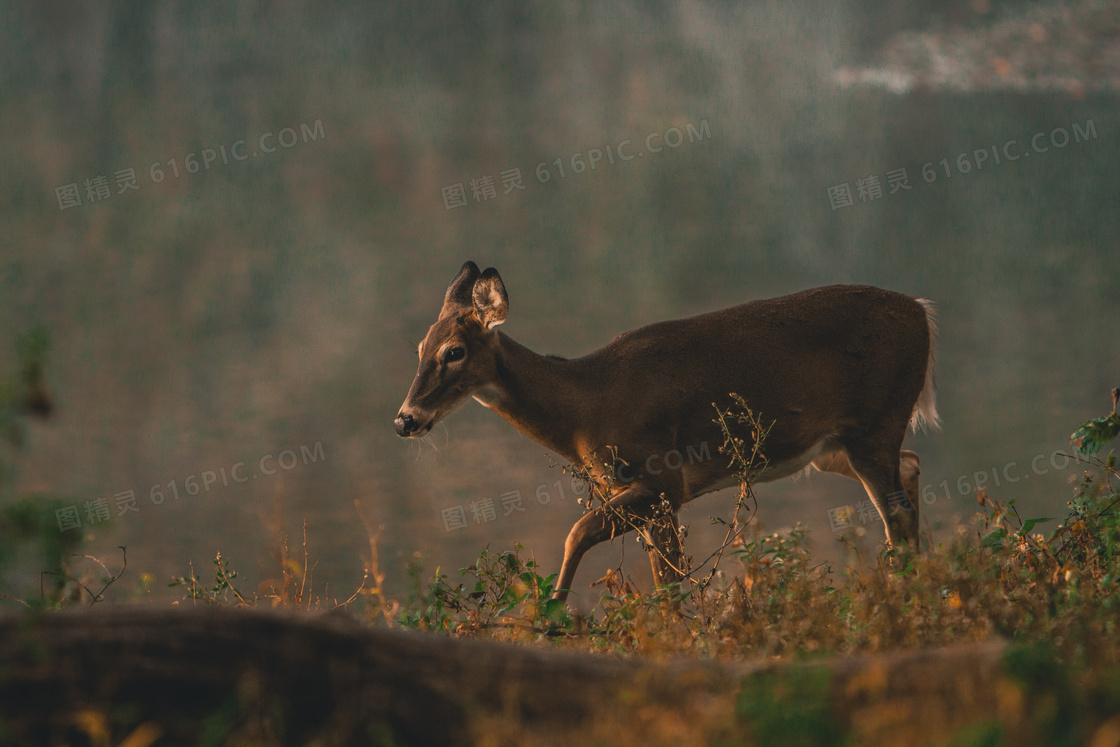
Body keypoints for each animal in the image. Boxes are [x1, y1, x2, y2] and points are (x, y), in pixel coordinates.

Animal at [394, 263, 936, 600]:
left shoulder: (662, 481)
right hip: (832, 446)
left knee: (897, 516)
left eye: (454, 351)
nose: (405, 419)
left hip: (875, 422)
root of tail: (922, 311)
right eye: (419, 347)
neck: (585, 405)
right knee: (911, 469)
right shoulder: (645, 494)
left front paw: (552, 618)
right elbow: (664, 580)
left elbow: (580, 534)